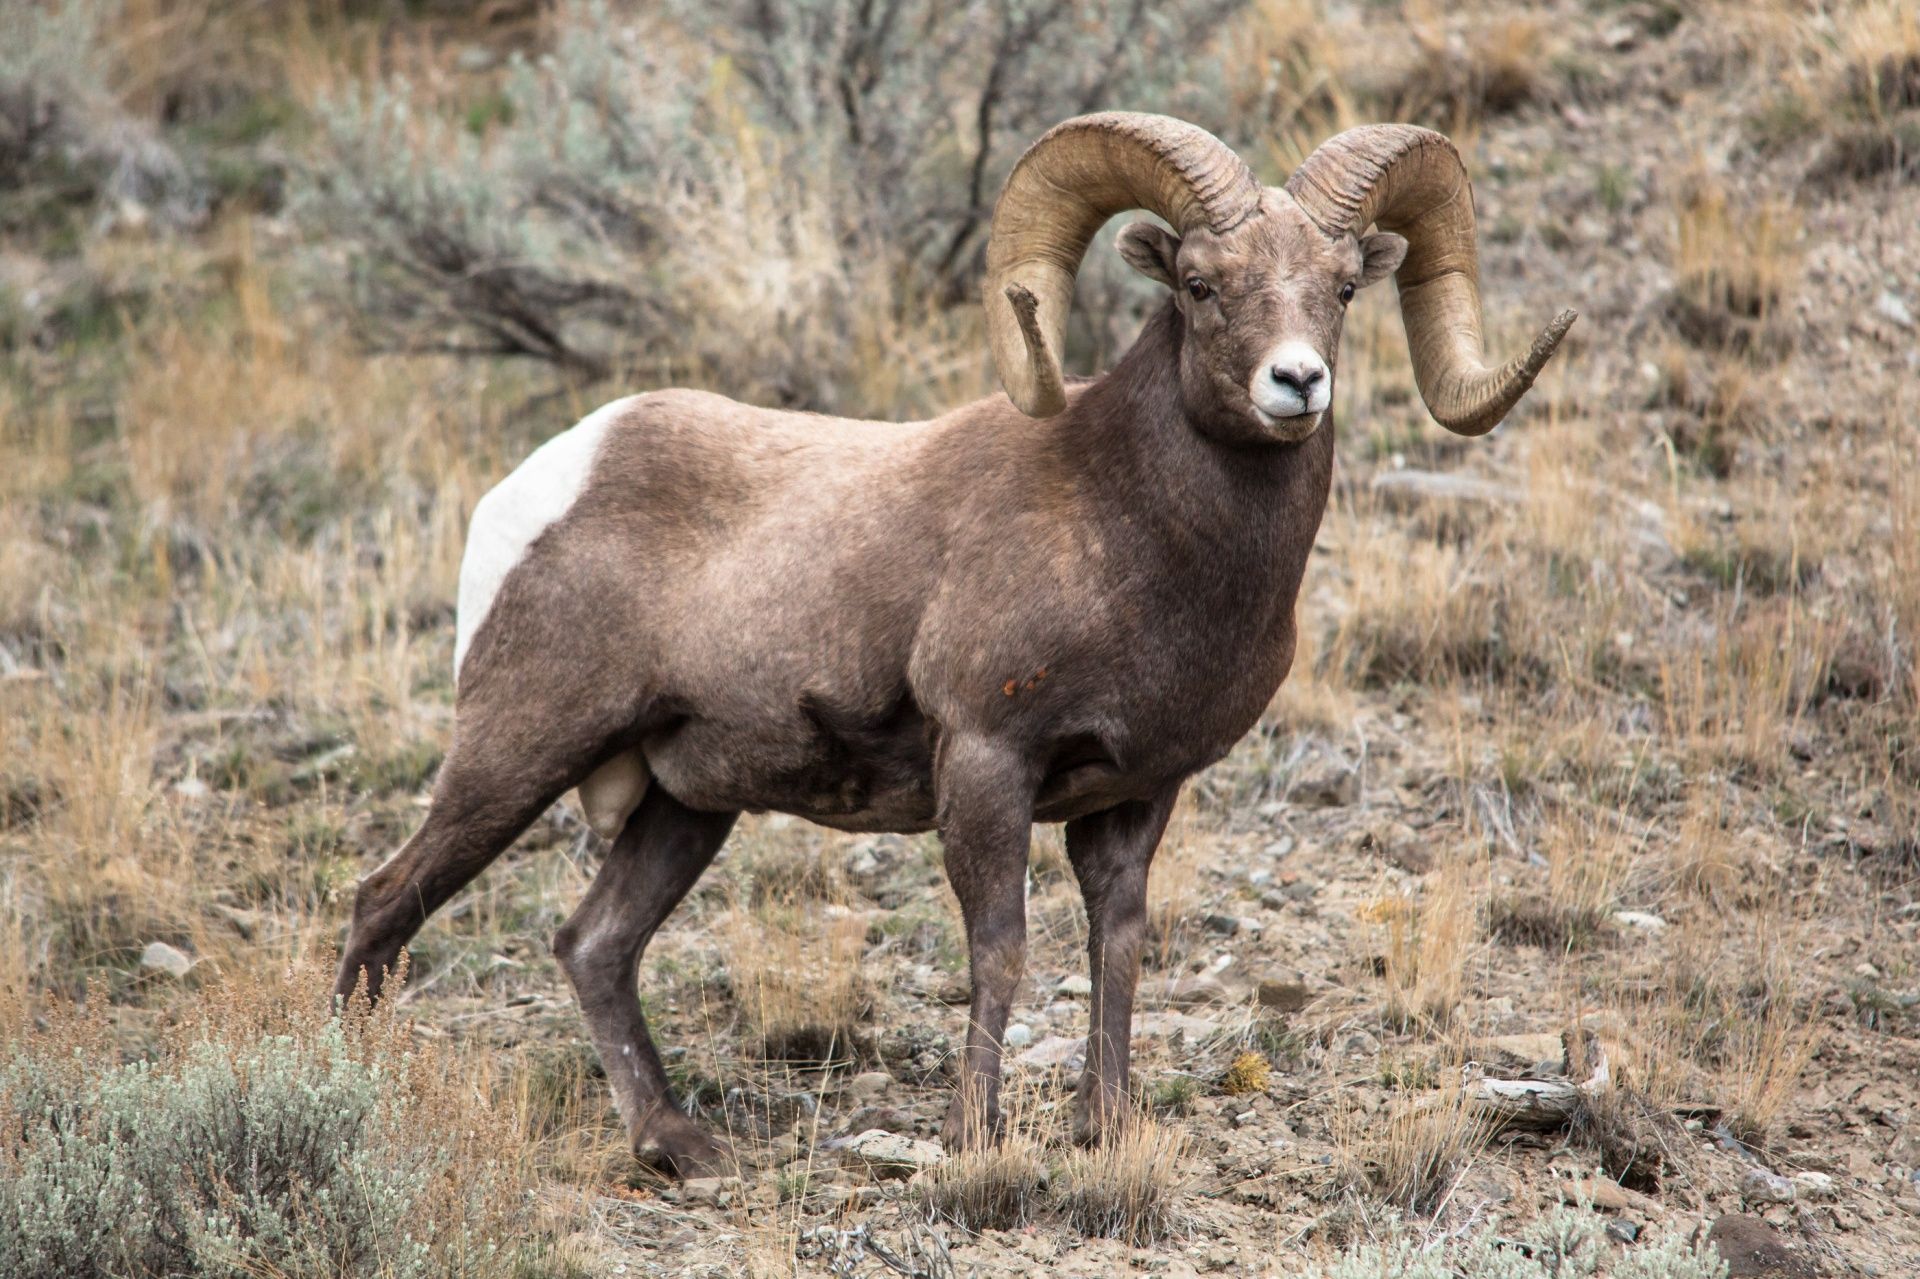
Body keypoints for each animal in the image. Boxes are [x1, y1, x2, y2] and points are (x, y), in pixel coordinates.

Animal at [334, 113, 1575, 1177]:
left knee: (593, 944)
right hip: (515, 754)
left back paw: (679, 1146)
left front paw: (1105, 1126)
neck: (1129, 528)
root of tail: (542, 481)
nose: (1297, 382)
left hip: (684, 807)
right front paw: (976, 1137)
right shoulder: (986, 764)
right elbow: (1002, 948)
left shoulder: (1137, 798)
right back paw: (356, 1091)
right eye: (1199, 283)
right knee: (385, 904)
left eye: (1343, 288)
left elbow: (1117, 948)